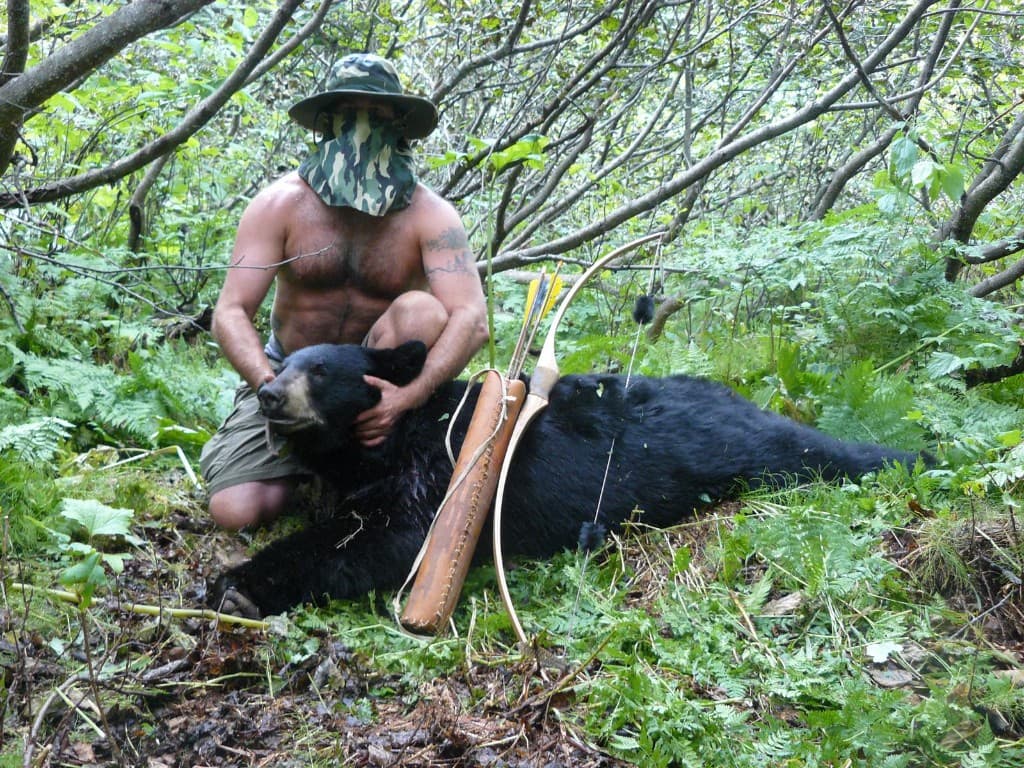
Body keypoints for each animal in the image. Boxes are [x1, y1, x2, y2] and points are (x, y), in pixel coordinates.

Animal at [208, 341, 920, 618]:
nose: (269, 394)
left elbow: (378, 541)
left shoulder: (436, 478)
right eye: (281, 365)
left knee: (810, 451)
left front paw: (238, 585)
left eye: (321, 370)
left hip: (744, 451)